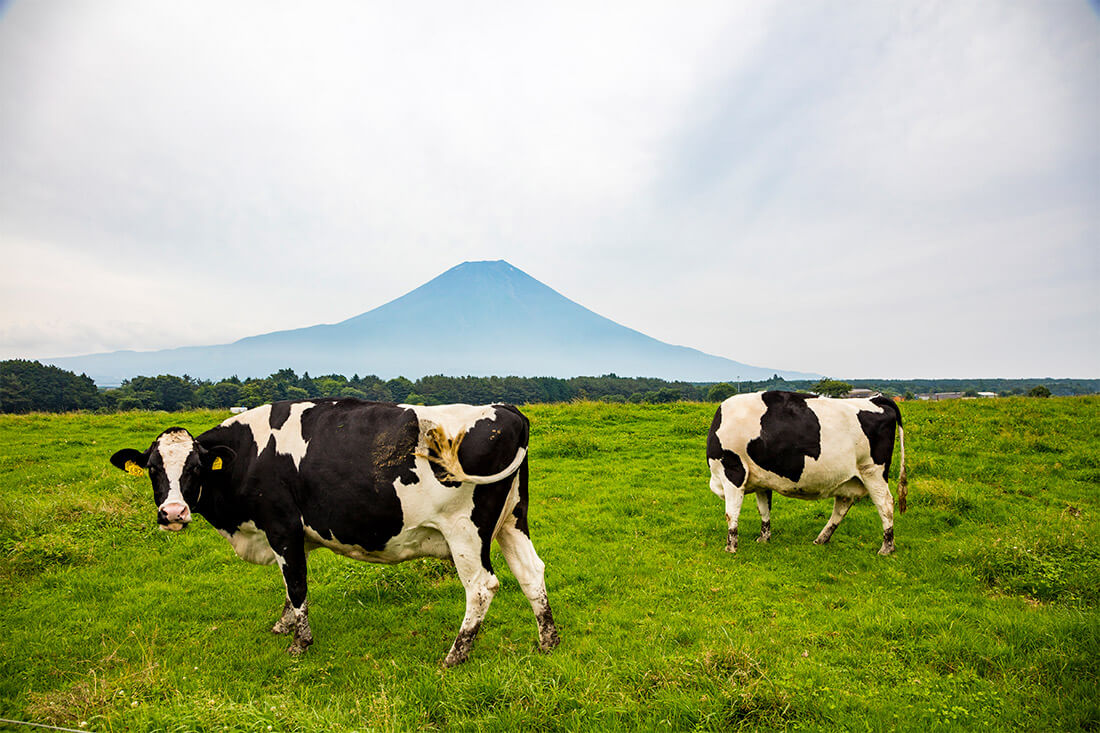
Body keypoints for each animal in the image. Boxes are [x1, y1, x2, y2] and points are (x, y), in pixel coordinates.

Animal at [110, 396, 558, 664]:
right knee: (531, 572)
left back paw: (455, 656)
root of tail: (507, 409)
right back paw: (548, 641)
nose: (172, 513)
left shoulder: (282, 526)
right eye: (152, 469)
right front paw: (285, 625)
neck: (250, 456)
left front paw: (299, 642)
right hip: (512, 520)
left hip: (465, 530)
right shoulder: (293, 536)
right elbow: (289, 587)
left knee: (482, 586)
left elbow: (296, 585)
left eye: (196, 468)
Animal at [708, 391, 906, 550]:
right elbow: (764, 509)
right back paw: (821, 539)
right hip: (851, 477)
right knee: (842, 506)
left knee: (886, 504)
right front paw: (764, 538)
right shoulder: (761, 480)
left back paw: (887, 548)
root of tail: (875, 399)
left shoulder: (733, 470)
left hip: (873, 472)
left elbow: (731, 512)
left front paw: (731, 546)